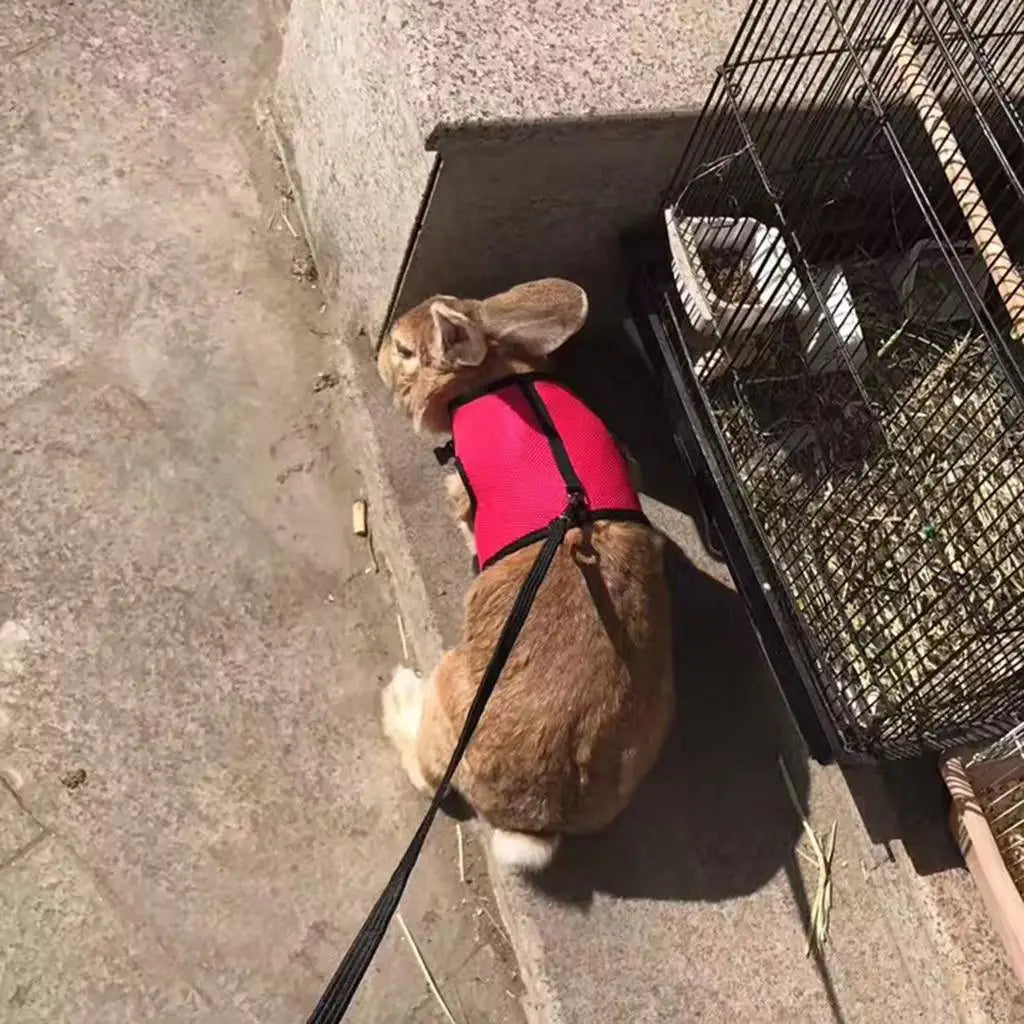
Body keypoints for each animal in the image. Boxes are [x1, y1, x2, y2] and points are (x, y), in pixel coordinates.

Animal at [377, 278, 674, 872]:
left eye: (404, 351)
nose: (377, 357)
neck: (492, 376)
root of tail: (536, 819)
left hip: (451, 693)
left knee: (428, 776)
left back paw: (398, 699)